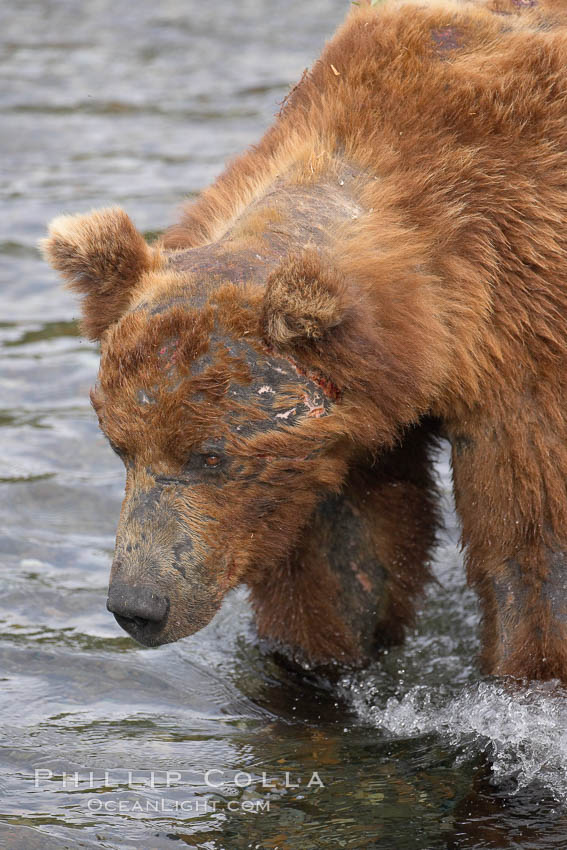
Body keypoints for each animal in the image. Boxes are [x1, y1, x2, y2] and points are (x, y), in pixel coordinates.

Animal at [45, 0, 567, 680]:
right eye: (119, 447)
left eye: (210, 455)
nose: (138, 605)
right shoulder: (337, 432)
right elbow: (347, 564)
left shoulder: (525, 345)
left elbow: (530, 548)